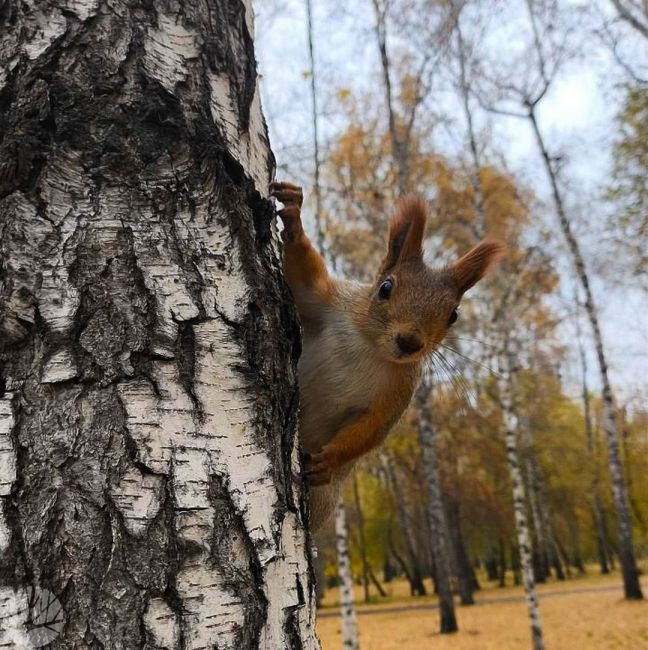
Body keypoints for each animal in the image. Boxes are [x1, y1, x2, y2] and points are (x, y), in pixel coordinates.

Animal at [270, 180, 504, 528]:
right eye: (385, 287)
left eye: (453, 315)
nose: (409, 342)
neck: (371, 347)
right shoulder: (329, 302)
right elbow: (303, 280)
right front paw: (294, 217)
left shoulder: (399, 391)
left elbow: (372, 430)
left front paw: (330, 461)